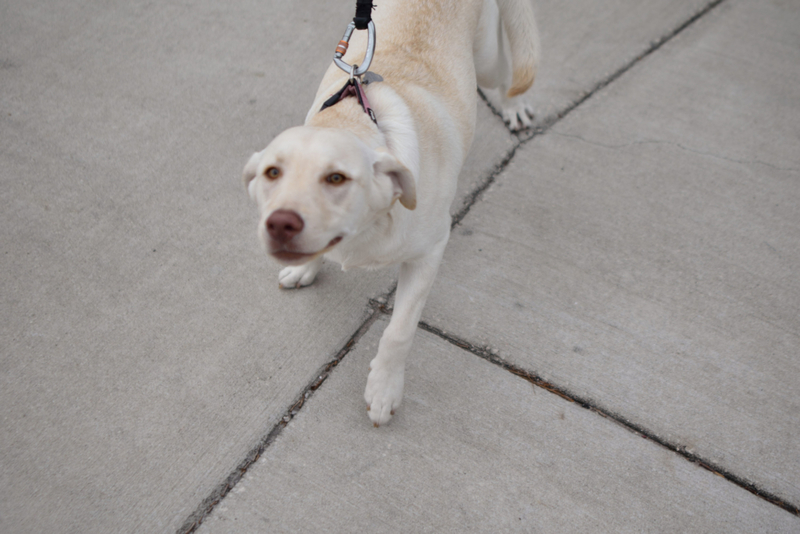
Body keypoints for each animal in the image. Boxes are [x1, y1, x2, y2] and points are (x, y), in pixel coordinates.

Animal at [244, 0, 540, 428]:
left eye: (336, 178)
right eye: (272, 173)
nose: (281, 223)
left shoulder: (429, 253)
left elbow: (398, 333)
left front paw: (384, 389)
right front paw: (305, 268)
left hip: (485, 58)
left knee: (505, 72)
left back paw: (515, 106)